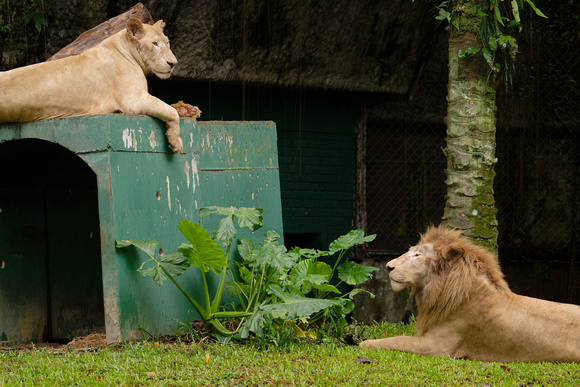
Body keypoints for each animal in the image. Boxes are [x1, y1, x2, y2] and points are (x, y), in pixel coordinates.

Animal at [0, 18, 186, 154]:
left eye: (167, 43)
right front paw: (176, 143)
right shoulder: (133, 101)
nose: (173, 63)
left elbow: (171, 109)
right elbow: (171, 111)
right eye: (155, 44)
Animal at [360, 226, 580, 362]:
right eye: (411, 250)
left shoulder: (436, 347)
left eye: (417, 254)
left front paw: (364, 343)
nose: (388, 266)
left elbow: (396, 340)